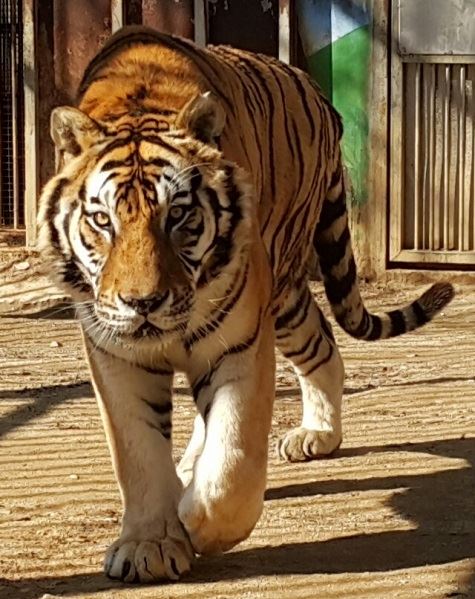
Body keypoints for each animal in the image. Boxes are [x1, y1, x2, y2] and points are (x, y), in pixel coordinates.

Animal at [36, 25, 454, 584]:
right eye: (103, 221)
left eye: (178, 217)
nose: (143, 302)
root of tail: (318, 93)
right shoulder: (115, 352)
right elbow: (137, 453)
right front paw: (148, 543)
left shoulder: (238, 340)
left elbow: (231, 459)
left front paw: (197, 523)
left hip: (279, 287)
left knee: (321, 348)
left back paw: (316, 435)